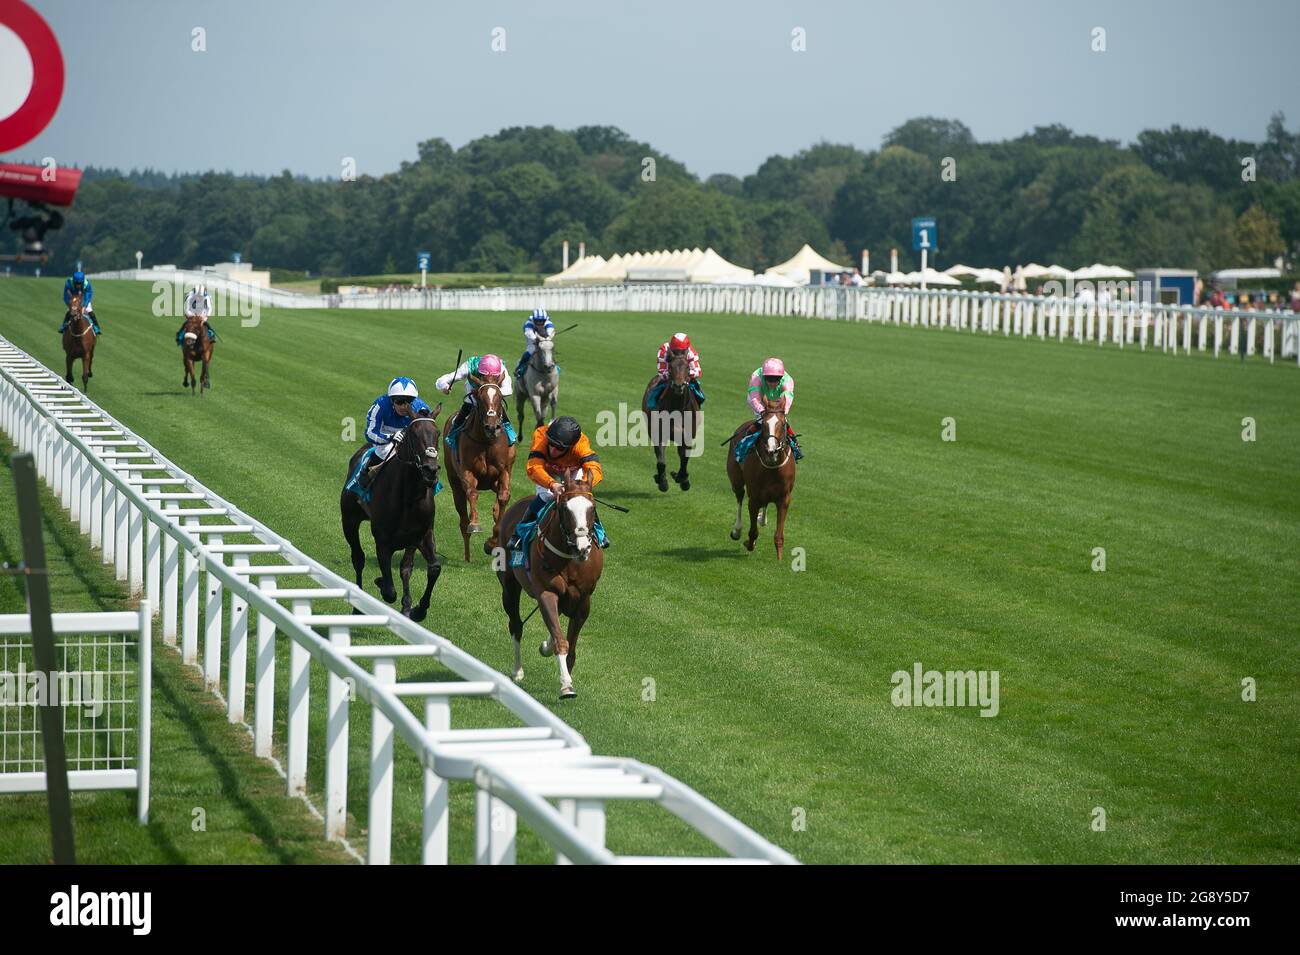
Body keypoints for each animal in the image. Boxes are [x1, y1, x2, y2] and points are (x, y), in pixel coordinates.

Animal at [340, 407, 447, 621]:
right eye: (414, 434)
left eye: (437, 433)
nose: (431, 470)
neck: (409, 496)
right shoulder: (382, 540)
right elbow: (389, 590)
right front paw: (380, 581)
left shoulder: (423, 534)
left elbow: (433, 568)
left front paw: (418, 609)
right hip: (349, 520)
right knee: (358, 558)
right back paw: (357, 606)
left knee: (406, 568)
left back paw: (406, 607)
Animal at [441, 379, 512, 561]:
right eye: (479, 399)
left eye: (499, 396)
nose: (492, 427)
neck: (486, 442)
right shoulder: (467, 471)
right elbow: (472, 493)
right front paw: (475, 524)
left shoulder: (504, 471)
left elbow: (504, 497)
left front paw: (492, 542)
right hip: (454, 482)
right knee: (462, 519)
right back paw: (467, 557)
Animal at [496, 475, 603, 696]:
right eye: (564, 508)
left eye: (592, 507)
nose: (582, 548)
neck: (570, 560)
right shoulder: (546, 593)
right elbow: (561, 640)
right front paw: (566, 685)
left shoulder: (583, 600)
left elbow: (569, 644)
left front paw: (550, 650)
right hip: (509, 585)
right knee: (516, 624)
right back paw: (517, 670)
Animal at [639, 356, 702, 496]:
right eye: (671, 367)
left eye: (687, 367)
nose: (679, 386)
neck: (677, 409)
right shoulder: (660, 435)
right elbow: (661, 462)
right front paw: (662, 481)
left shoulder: (687, 437)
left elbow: (684, 461)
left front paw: (682, 479)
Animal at [728, 402, 795, 561]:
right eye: (764, 424)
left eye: (783, 423)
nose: (772, 450)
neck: (772, 466)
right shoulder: (754, 498)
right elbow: (753, 531)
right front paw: (749, 543)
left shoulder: (784, 498)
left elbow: (779, 536)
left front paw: (779, 558)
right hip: (736, 478)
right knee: (739, 498)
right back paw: (737, 530)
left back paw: (762, 519)